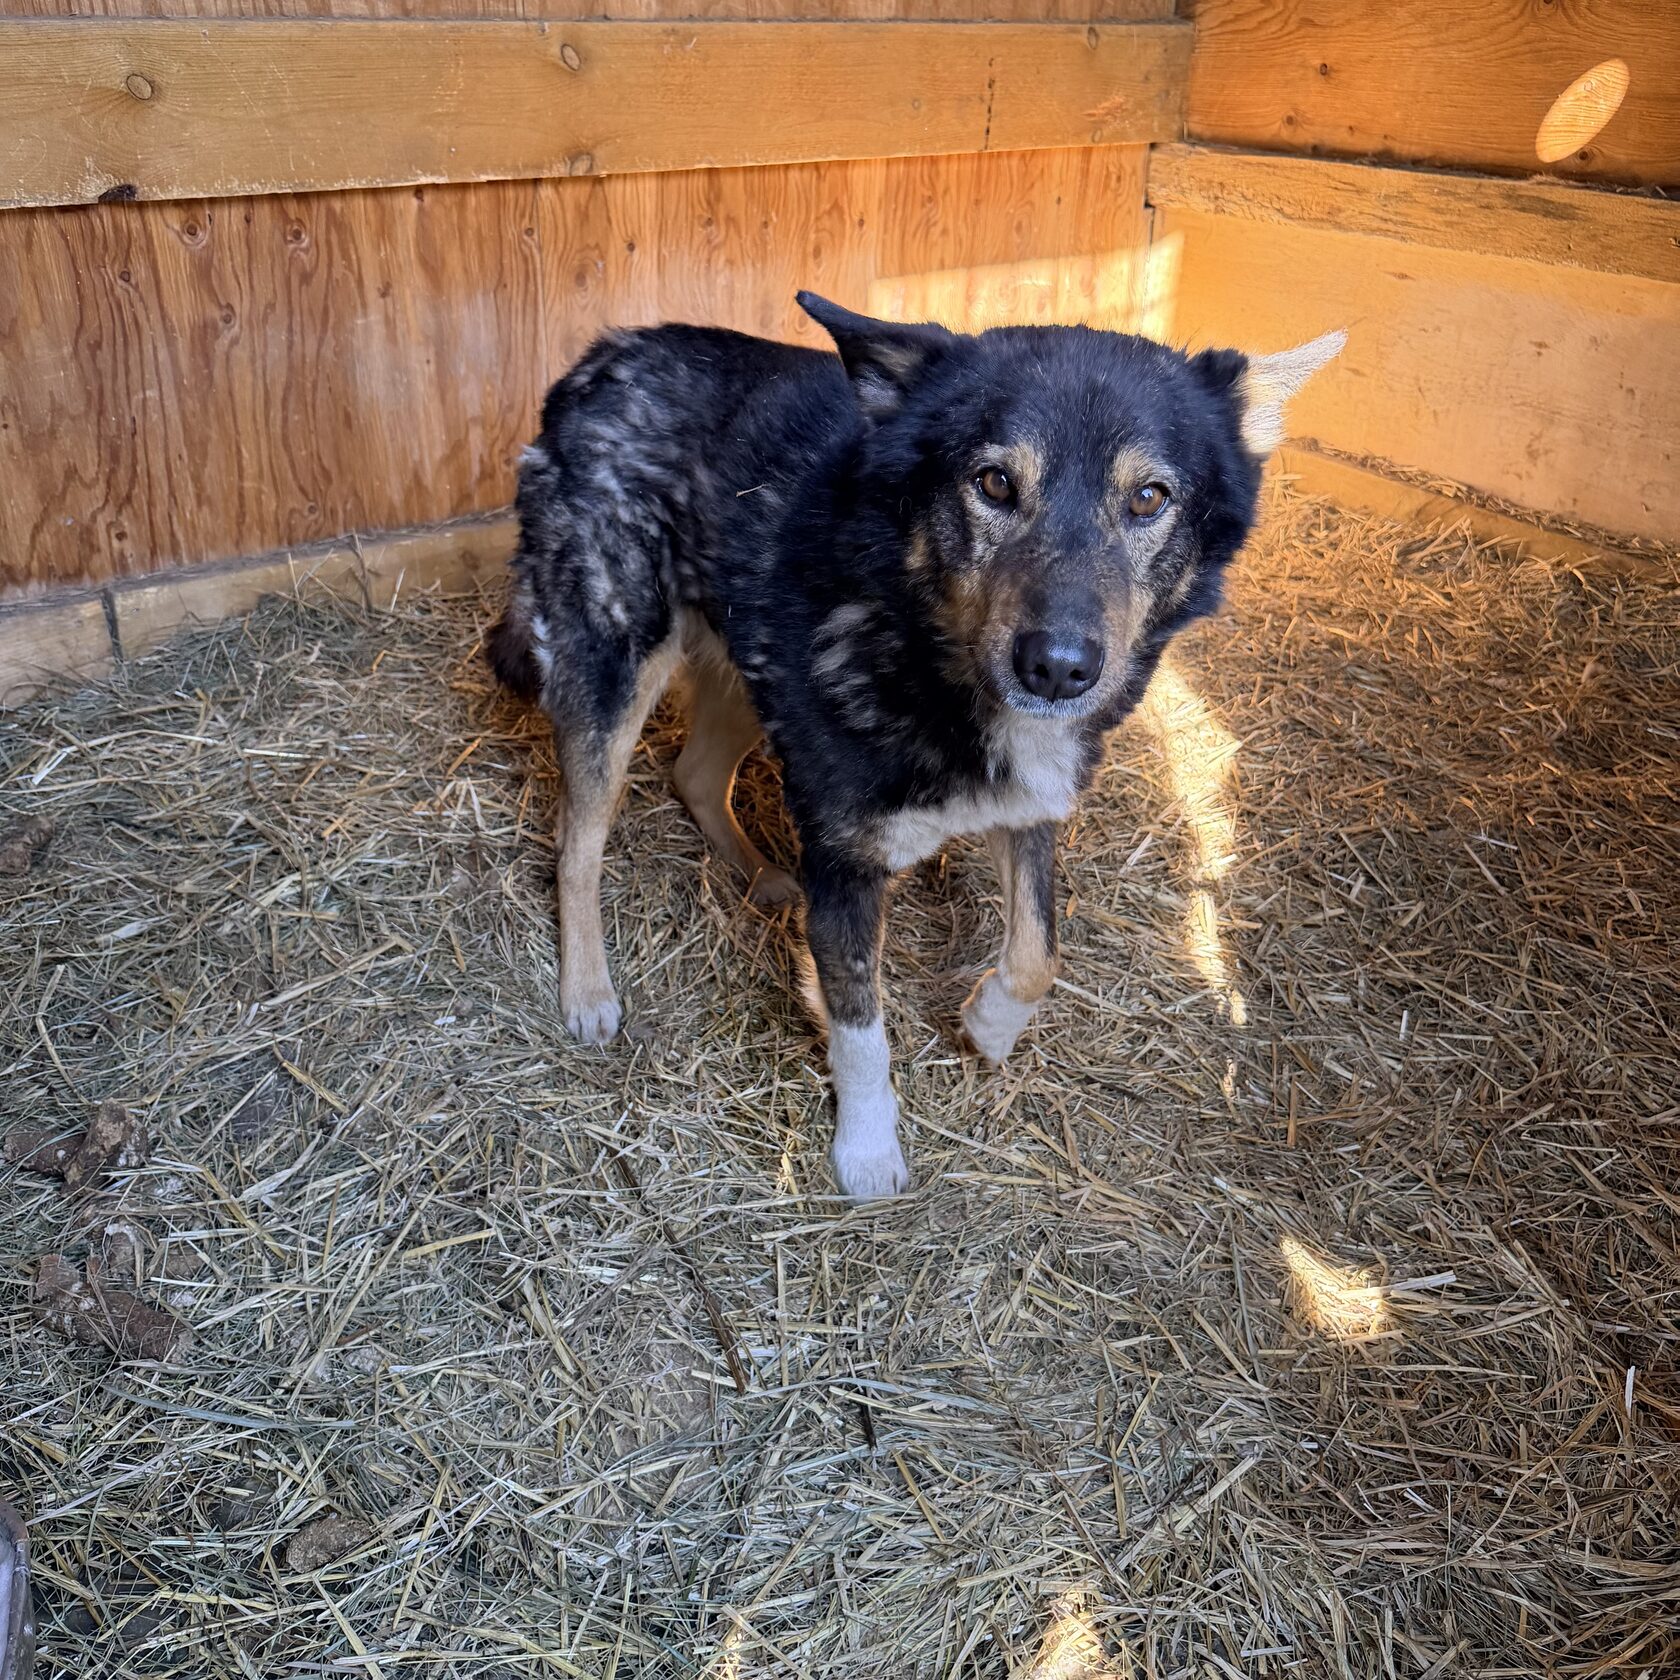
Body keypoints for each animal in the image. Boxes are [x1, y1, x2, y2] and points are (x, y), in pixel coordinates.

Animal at [488, 293, 1343, 1198]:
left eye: (1149, 497)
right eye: (994, 482)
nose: (1057, 668)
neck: (925, 646)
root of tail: (603, 355)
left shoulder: (1025, 810)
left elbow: (1039, 951)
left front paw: (989, 1026)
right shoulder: (847, 862)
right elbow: (862, 1026)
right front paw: (866, 1151)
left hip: (749, 668)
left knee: (694, 772)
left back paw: (762, 874)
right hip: (615, 669)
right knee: (577, 845)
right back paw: (588, 989)